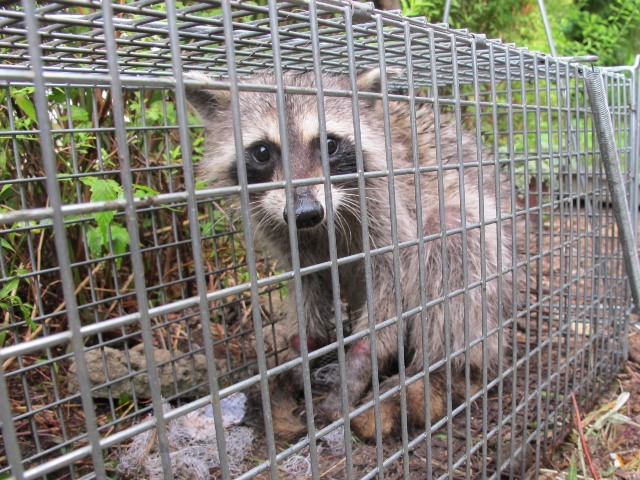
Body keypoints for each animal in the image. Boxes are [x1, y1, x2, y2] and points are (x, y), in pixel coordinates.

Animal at [182, 69, 512, 440]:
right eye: (263, 151)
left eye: (329, 144)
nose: (305, 212)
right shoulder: (280, 226)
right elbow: (306, 286)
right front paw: (303, 352)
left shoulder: (388, 203)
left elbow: (393, 283)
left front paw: (356, 367)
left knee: (453, 239)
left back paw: (442, 371)